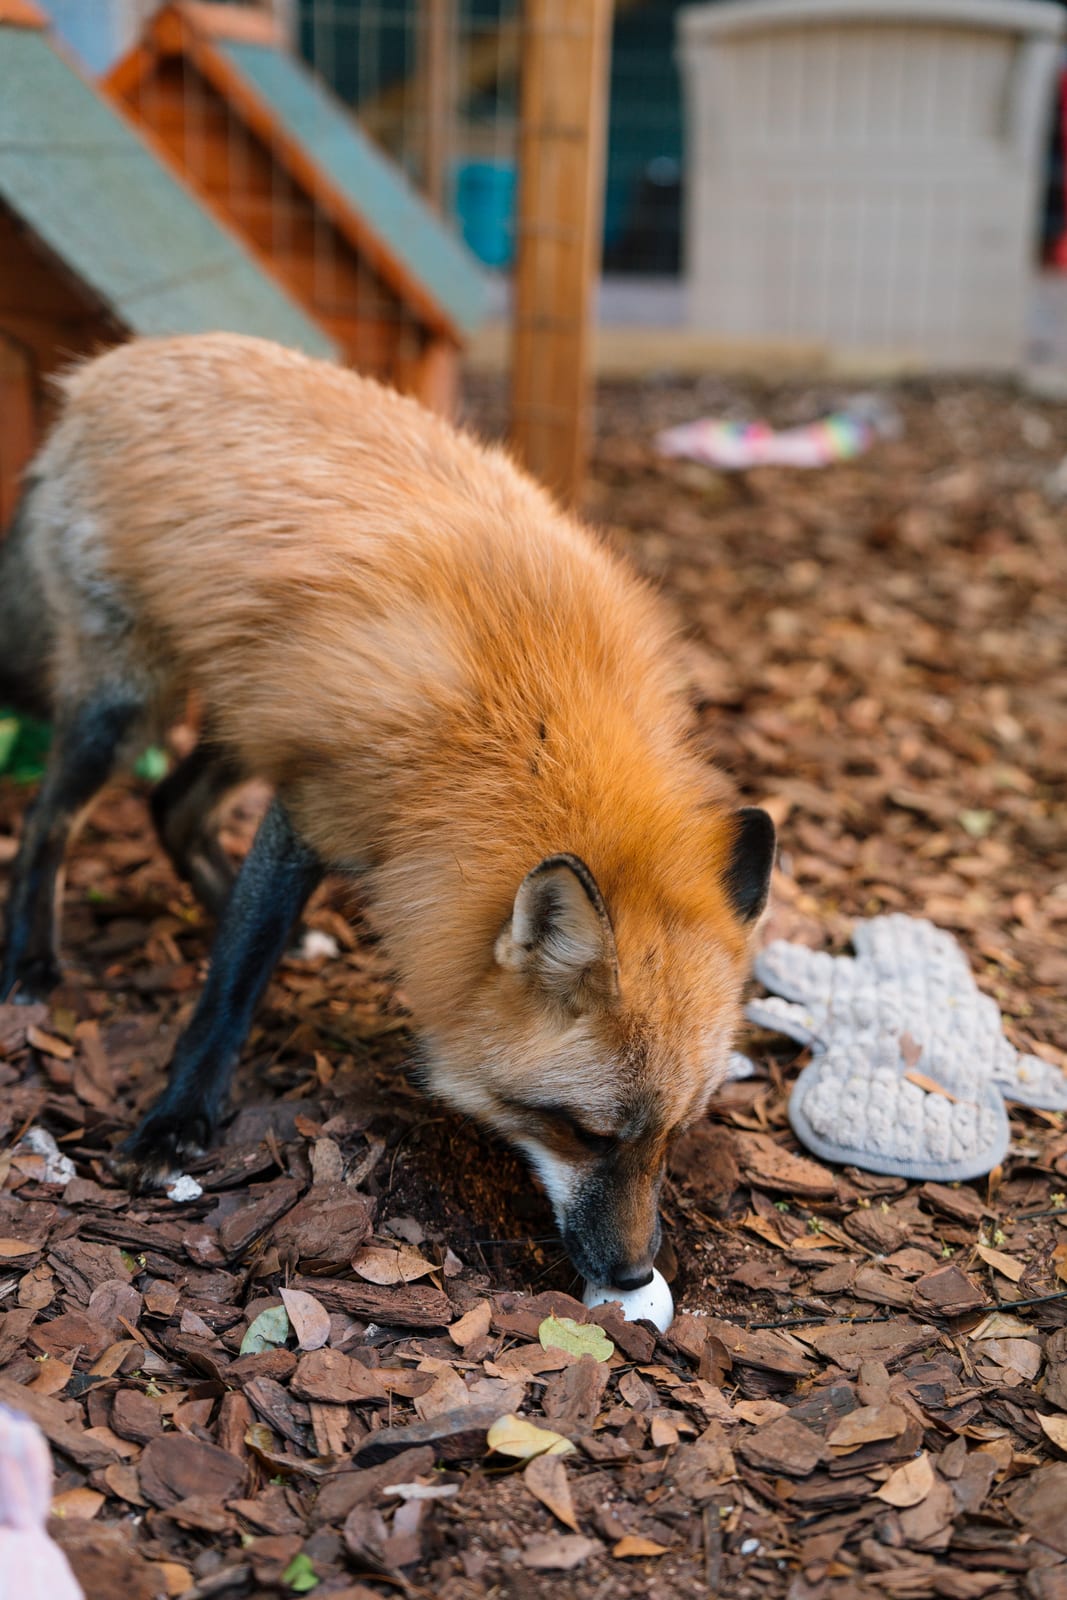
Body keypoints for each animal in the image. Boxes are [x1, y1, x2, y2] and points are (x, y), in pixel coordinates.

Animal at [0, 333, 775, 1291]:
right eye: (583, 1132)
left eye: (675, 1134)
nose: (632, 1276)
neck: (531, 719)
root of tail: (115, 363)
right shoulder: (318, 799)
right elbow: (232, 978)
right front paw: (175, 1120)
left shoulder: (330, 782)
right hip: (129, 701)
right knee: (49, 822)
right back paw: (31, 958)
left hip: (253, 708)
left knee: (170, 804)